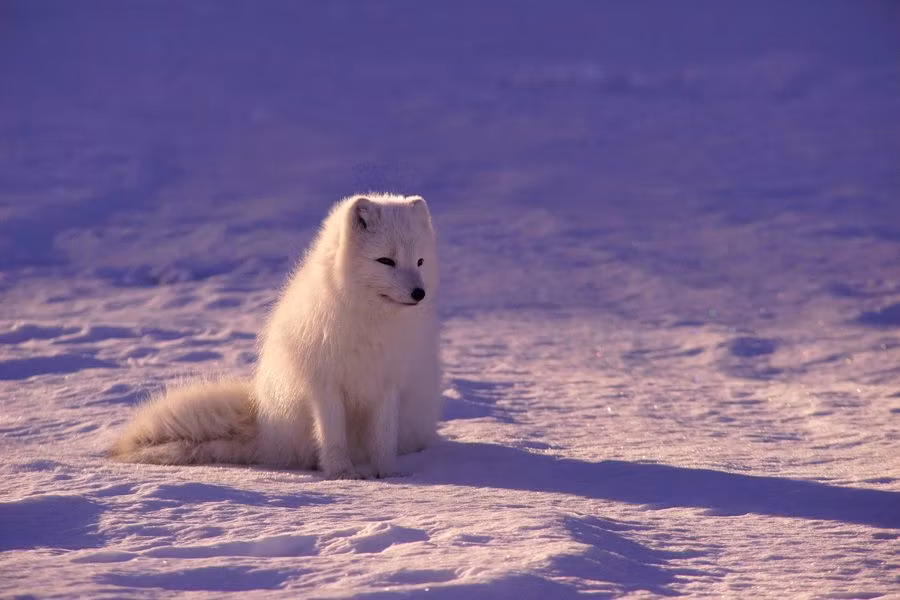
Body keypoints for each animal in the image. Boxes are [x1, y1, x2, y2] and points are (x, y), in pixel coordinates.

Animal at [109, 193, 442, 479]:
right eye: (386, 261)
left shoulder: (388, 382)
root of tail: (265, 428)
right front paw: (342, 474)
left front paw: (388, 474)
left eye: (420, 262)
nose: (419, 293)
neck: (371, 321)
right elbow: (333, 437)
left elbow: (384, 439)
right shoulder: (325, 384)